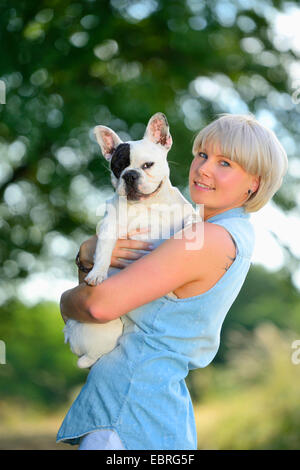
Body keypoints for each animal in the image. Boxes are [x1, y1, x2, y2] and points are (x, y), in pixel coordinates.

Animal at [63, 113, 197, 368]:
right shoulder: (109, 226)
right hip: (105, 329)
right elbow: (103, 251)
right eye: (117, 168)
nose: (130, 175)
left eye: (147, 165)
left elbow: (191, 218)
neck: (147, 205)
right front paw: (97, 273)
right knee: (88, 356)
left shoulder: (183, 212)